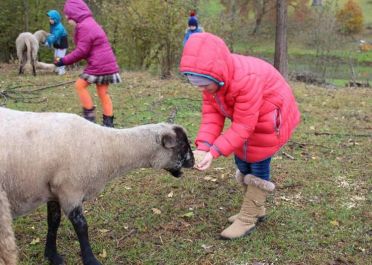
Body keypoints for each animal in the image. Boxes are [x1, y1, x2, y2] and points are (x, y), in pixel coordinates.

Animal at [0, 105, 193, 264]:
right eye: (183, 145)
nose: (193, 162)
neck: (107, 148)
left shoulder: (53, 190)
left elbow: (53, 221)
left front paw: (52, 255)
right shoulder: (70, 190)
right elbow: (82, 227)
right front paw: (90, 260)